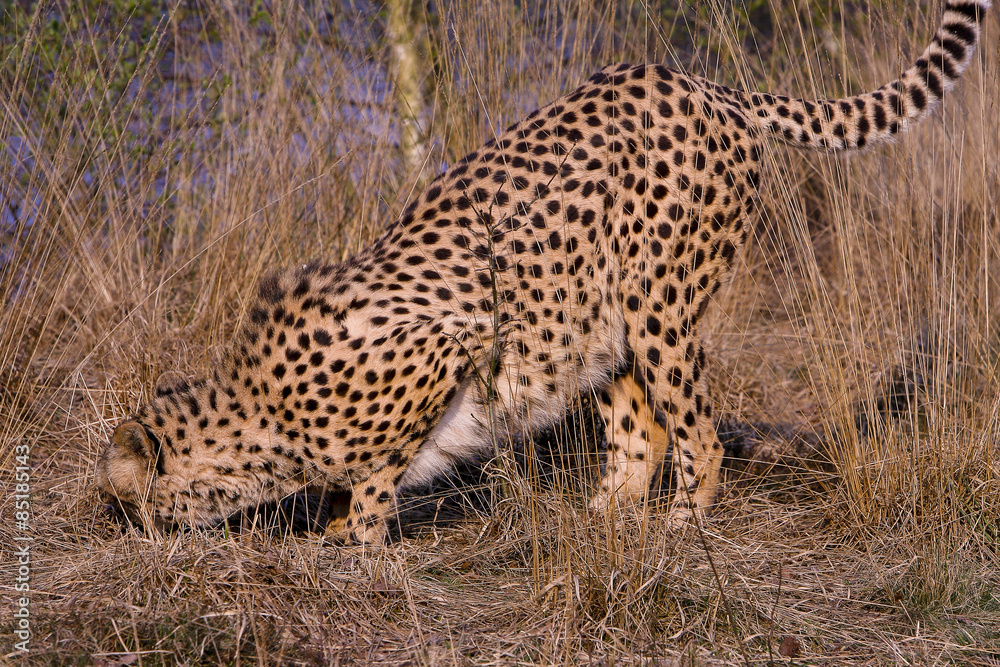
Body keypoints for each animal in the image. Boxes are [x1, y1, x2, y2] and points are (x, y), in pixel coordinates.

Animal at [97, 0, 991, 544]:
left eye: (125, 496)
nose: (124, 529)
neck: (254, 413)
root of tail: (709, 84)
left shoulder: (447, 347)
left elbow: (379, 470)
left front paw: (353, 536)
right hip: (600, 320)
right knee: (642, 432)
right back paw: (600, 519)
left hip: (659, 304)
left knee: (697, 433)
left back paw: (682, 524)